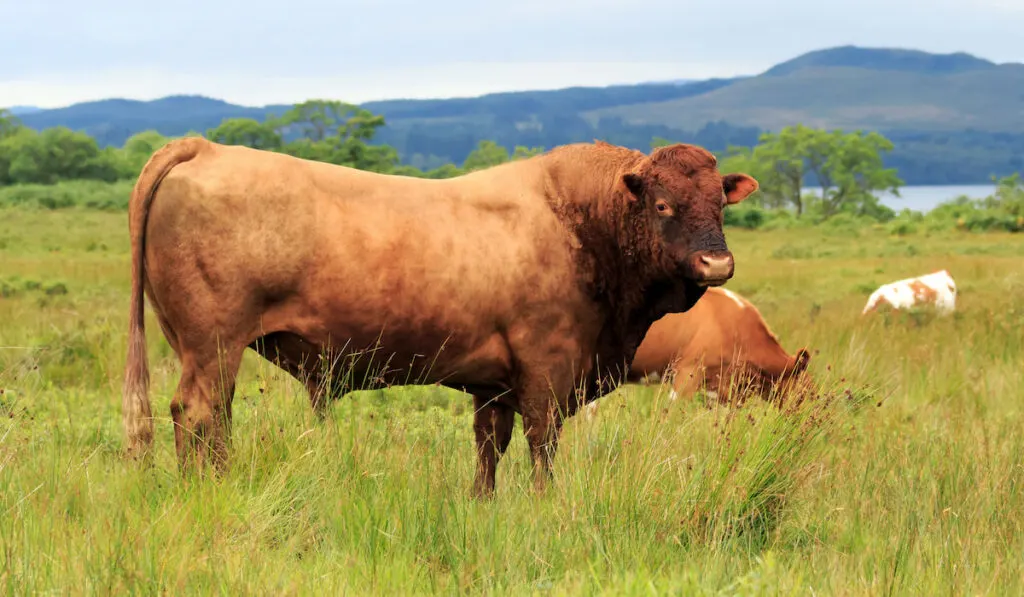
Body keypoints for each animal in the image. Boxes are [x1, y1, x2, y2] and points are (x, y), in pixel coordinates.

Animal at [121, 135, 761, 495]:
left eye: (720, 203)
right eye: (663, 204)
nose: (717, 262)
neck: (582, 220)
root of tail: (207, 147)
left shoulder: (495, 381)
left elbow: (489, 445)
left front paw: (483, 503)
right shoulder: (547, 366)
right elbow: (542, 442)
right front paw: (545, 503)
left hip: (203, 349)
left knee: (214, 417)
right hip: (213, 344)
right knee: (197, 415)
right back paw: (210, 489)